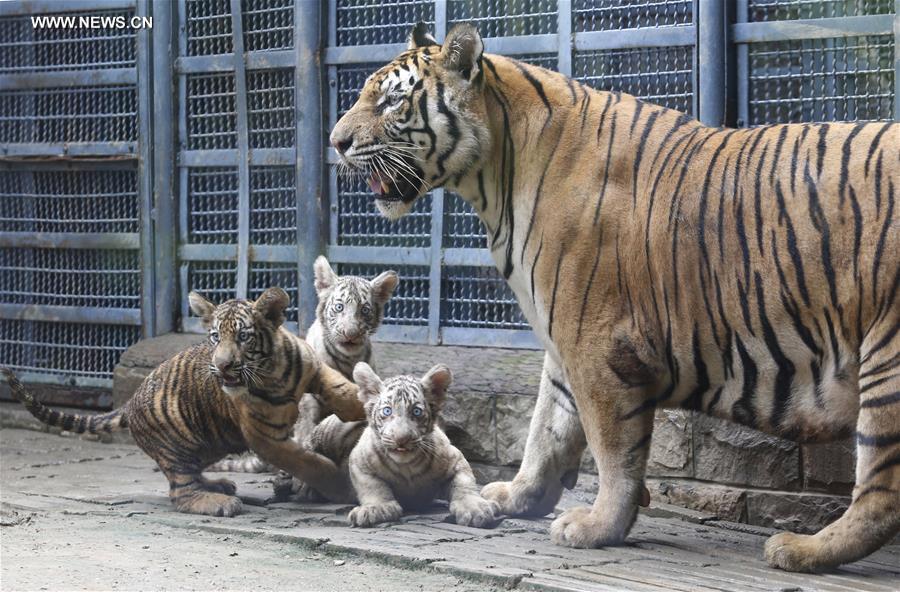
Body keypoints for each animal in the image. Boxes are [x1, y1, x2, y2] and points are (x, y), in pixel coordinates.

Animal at [0, 288, 364, 516]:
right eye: (215, 337)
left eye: (243, 337)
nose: (222, 366)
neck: (272, 373)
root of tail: (129, 403)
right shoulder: (265, 438)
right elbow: (308, 462)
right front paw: (340, 487)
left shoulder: (313, 367)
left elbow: (341, 388)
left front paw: (364, 406)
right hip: (177, 446)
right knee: (180, 491)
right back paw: (218, 502)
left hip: (209, 443)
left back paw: (220, 485)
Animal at [206, 256, 399, 473]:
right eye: (339, 307)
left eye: (365, 310)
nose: (350, 334)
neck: (349, 359)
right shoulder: (309, 393)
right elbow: (306, 425)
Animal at [288, 362, 499, 528]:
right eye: (387, 411)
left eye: (416, 412)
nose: (401, 438)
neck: (408, 466)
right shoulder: (358, 460)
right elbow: (372, 485)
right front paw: (376, 508)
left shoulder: (456, 459)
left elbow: (464, 484)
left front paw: (475, 508)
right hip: (335, 427)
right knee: (309, 445)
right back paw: (300, 486)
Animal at [328, 22, 899, 572]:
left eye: (392, 100)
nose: (335, 143)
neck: (495, 175)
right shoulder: (563, 339)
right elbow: (546, 428)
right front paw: (519, 496)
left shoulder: (596, 343)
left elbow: (611, 448)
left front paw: (598, 525)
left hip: (886, 360)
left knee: (880, 493)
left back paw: (801, 551)